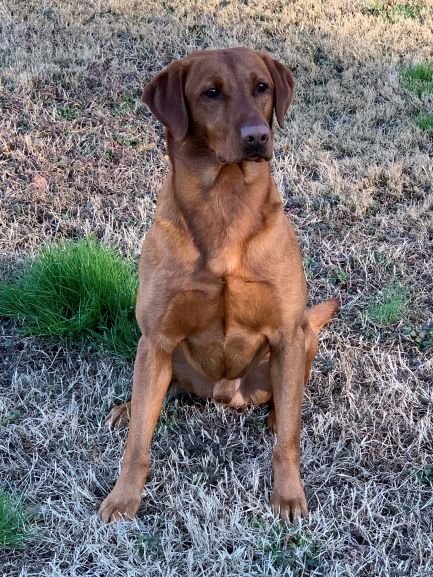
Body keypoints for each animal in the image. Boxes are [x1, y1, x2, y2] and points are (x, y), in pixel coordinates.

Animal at [98, 48, 338, 520]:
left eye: (261, 87)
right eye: (210, 93)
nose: (258, 136)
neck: (225, 202)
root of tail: (227, 395)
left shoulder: (288, 332)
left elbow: (288, 441)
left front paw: (288, 495)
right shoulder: (156, 338)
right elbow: (139, 442)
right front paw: (123, 496)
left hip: (303, 339)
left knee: (289, 400)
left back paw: (276, 415)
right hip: (160, 355)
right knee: (152, 397)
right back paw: (129, 407)